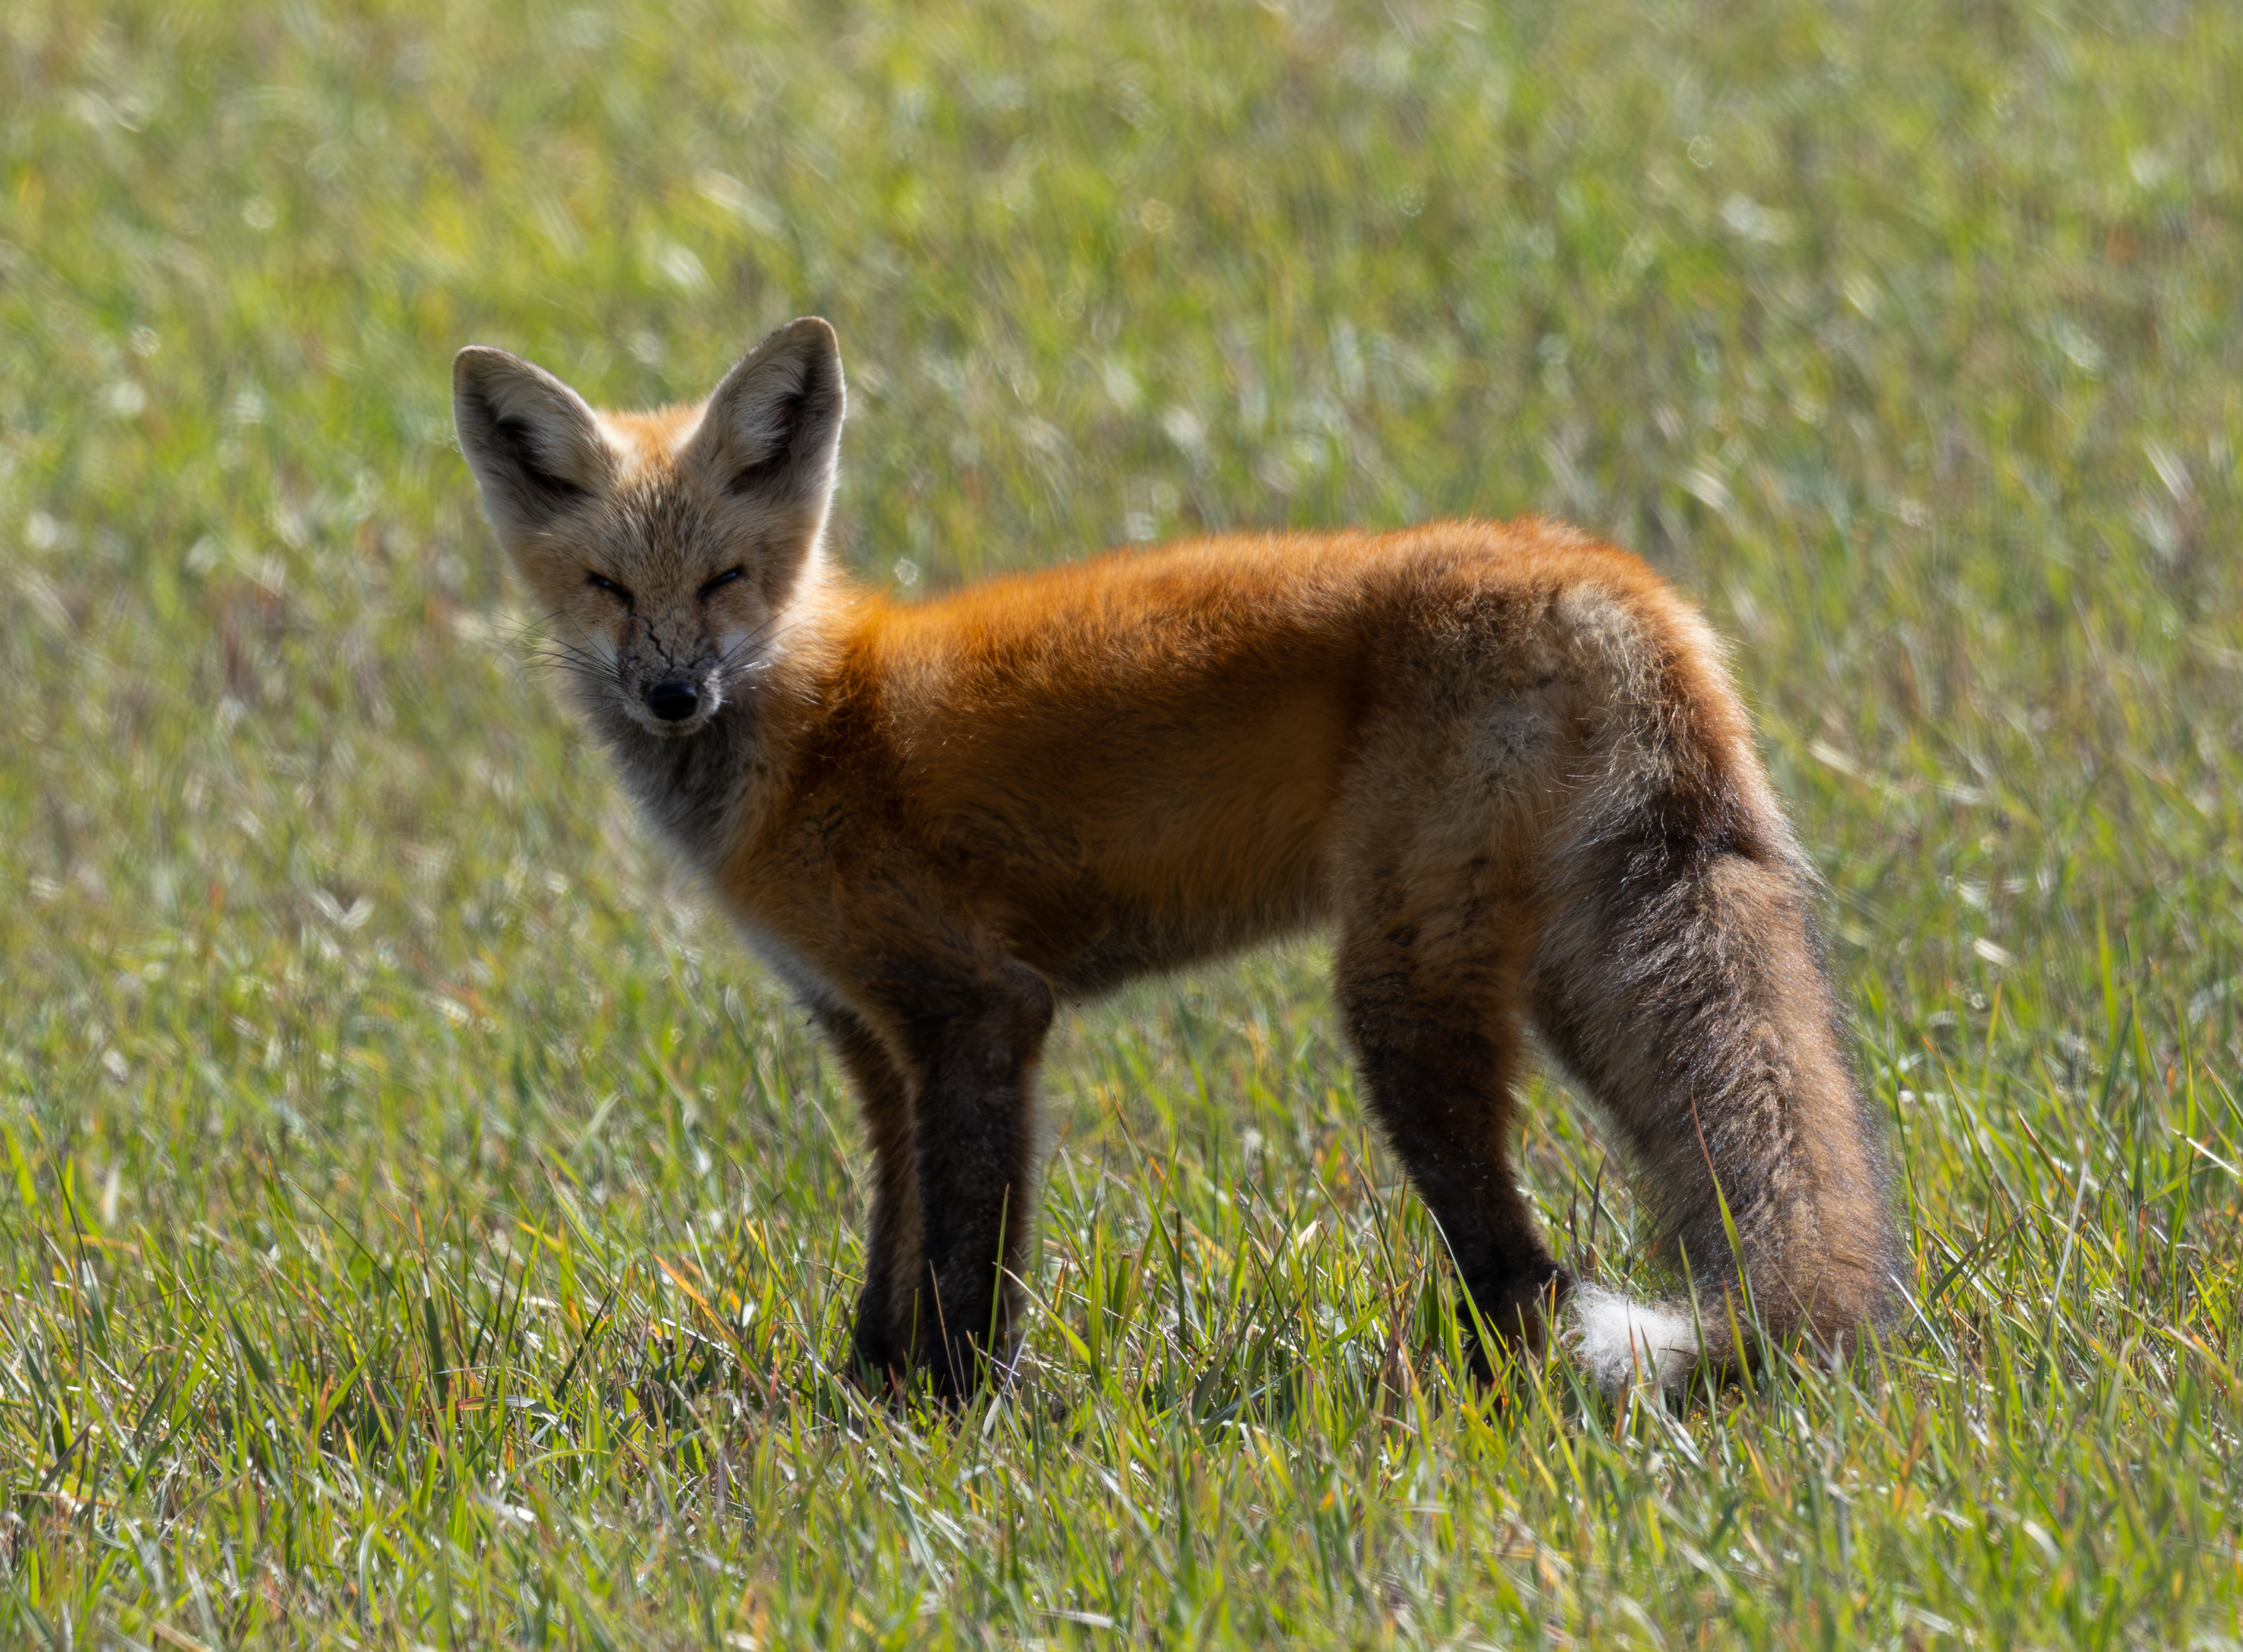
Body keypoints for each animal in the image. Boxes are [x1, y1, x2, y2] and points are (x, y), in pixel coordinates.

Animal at [452, 316, 1898, 1402]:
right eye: (607, 589)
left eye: (725, 579)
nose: (671, 695)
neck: (810, 718)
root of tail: (1594, 567)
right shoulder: (870, 1034)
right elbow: (892, 1249)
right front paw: (862, 1399)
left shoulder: (978, 1010)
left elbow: (967, 1266)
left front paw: (948, 1426)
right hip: (1577, 976)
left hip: (1402, 1000)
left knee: (1522, 1271)